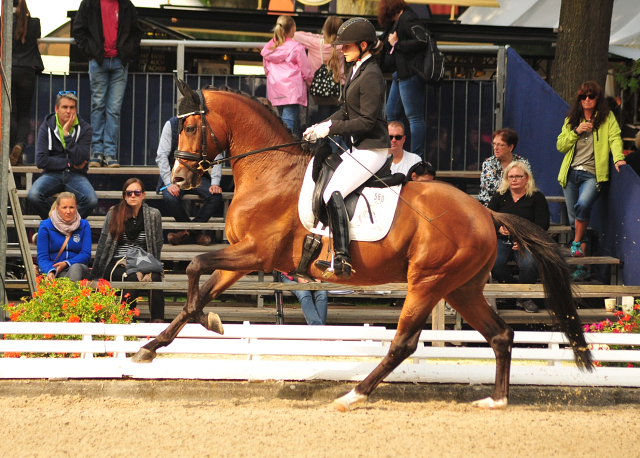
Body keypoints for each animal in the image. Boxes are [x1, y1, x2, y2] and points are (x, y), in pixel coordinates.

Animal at [131, 80, 596, 410]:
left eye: (191, 127)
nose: (178, 180)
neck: (269, 169)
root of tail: (486, 214)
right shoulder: (243, 258)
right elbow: (198, 290)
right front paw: (151, 348)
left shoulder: (256, 252)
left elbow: (194, 267)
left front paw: (205, 324)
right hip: (461, 288)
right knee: (500, 334)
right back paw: (496, 400)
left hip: (428, 281)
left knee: (404, 342)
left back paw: (353, 395)